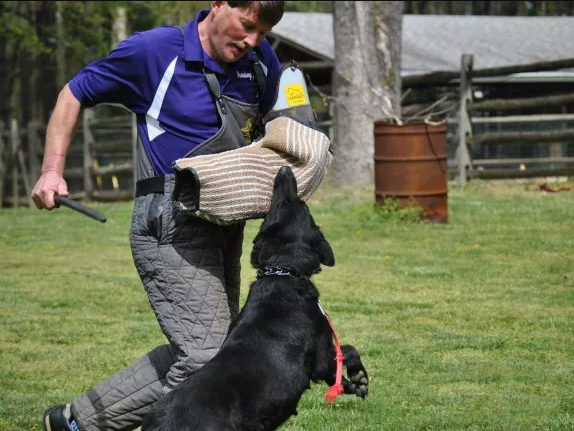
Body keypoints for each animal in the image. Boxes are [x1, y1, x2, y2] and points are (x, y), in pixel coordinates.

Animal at [143, 168, 368, 431]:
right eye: (291, 203)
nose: (284, 170)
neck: (282, 272)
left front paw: (353, 383)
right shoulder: (321, 356)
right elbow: (346, 352)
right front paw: (359, 379)